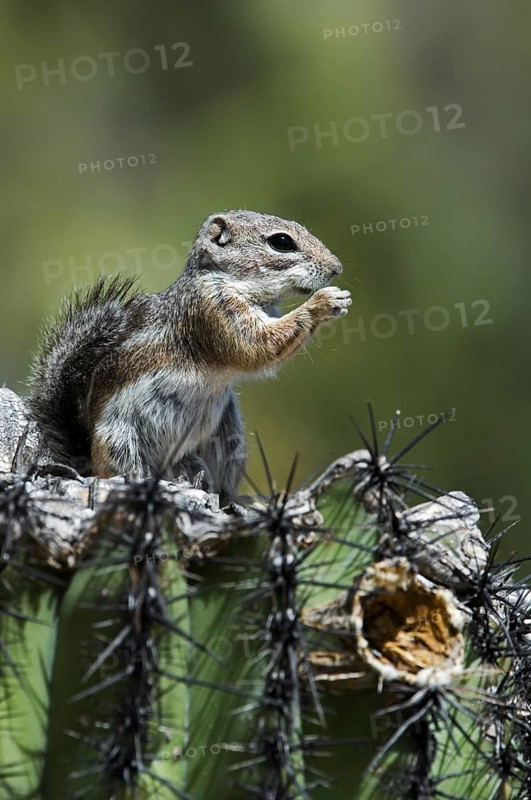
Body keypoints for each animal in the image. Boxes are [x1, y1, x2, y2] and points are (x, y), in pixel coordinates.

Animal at [27, 210, 351, 500]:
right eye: (282, 242)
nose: (337, 267)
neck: (226, 280)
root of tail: (86, 459)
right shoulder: (213, 310)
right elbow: (257, 347)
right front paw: (325, 302)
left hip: (226, 439)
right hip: (120, 443)